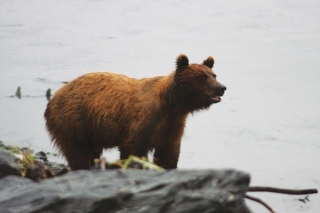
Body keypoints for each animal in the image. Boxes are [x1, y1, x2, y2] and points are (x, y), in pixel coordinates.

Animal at [43, 54, 226, 170]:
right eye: (202, 77)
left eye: (214, 74)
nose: (221, 87)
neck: (171, 104)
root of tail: (53, 98)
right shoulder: (145, 118)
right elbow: (133, 147)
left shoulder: (173, 125)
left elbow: (168, 153)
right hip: (73, 119)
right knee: (77, 151)